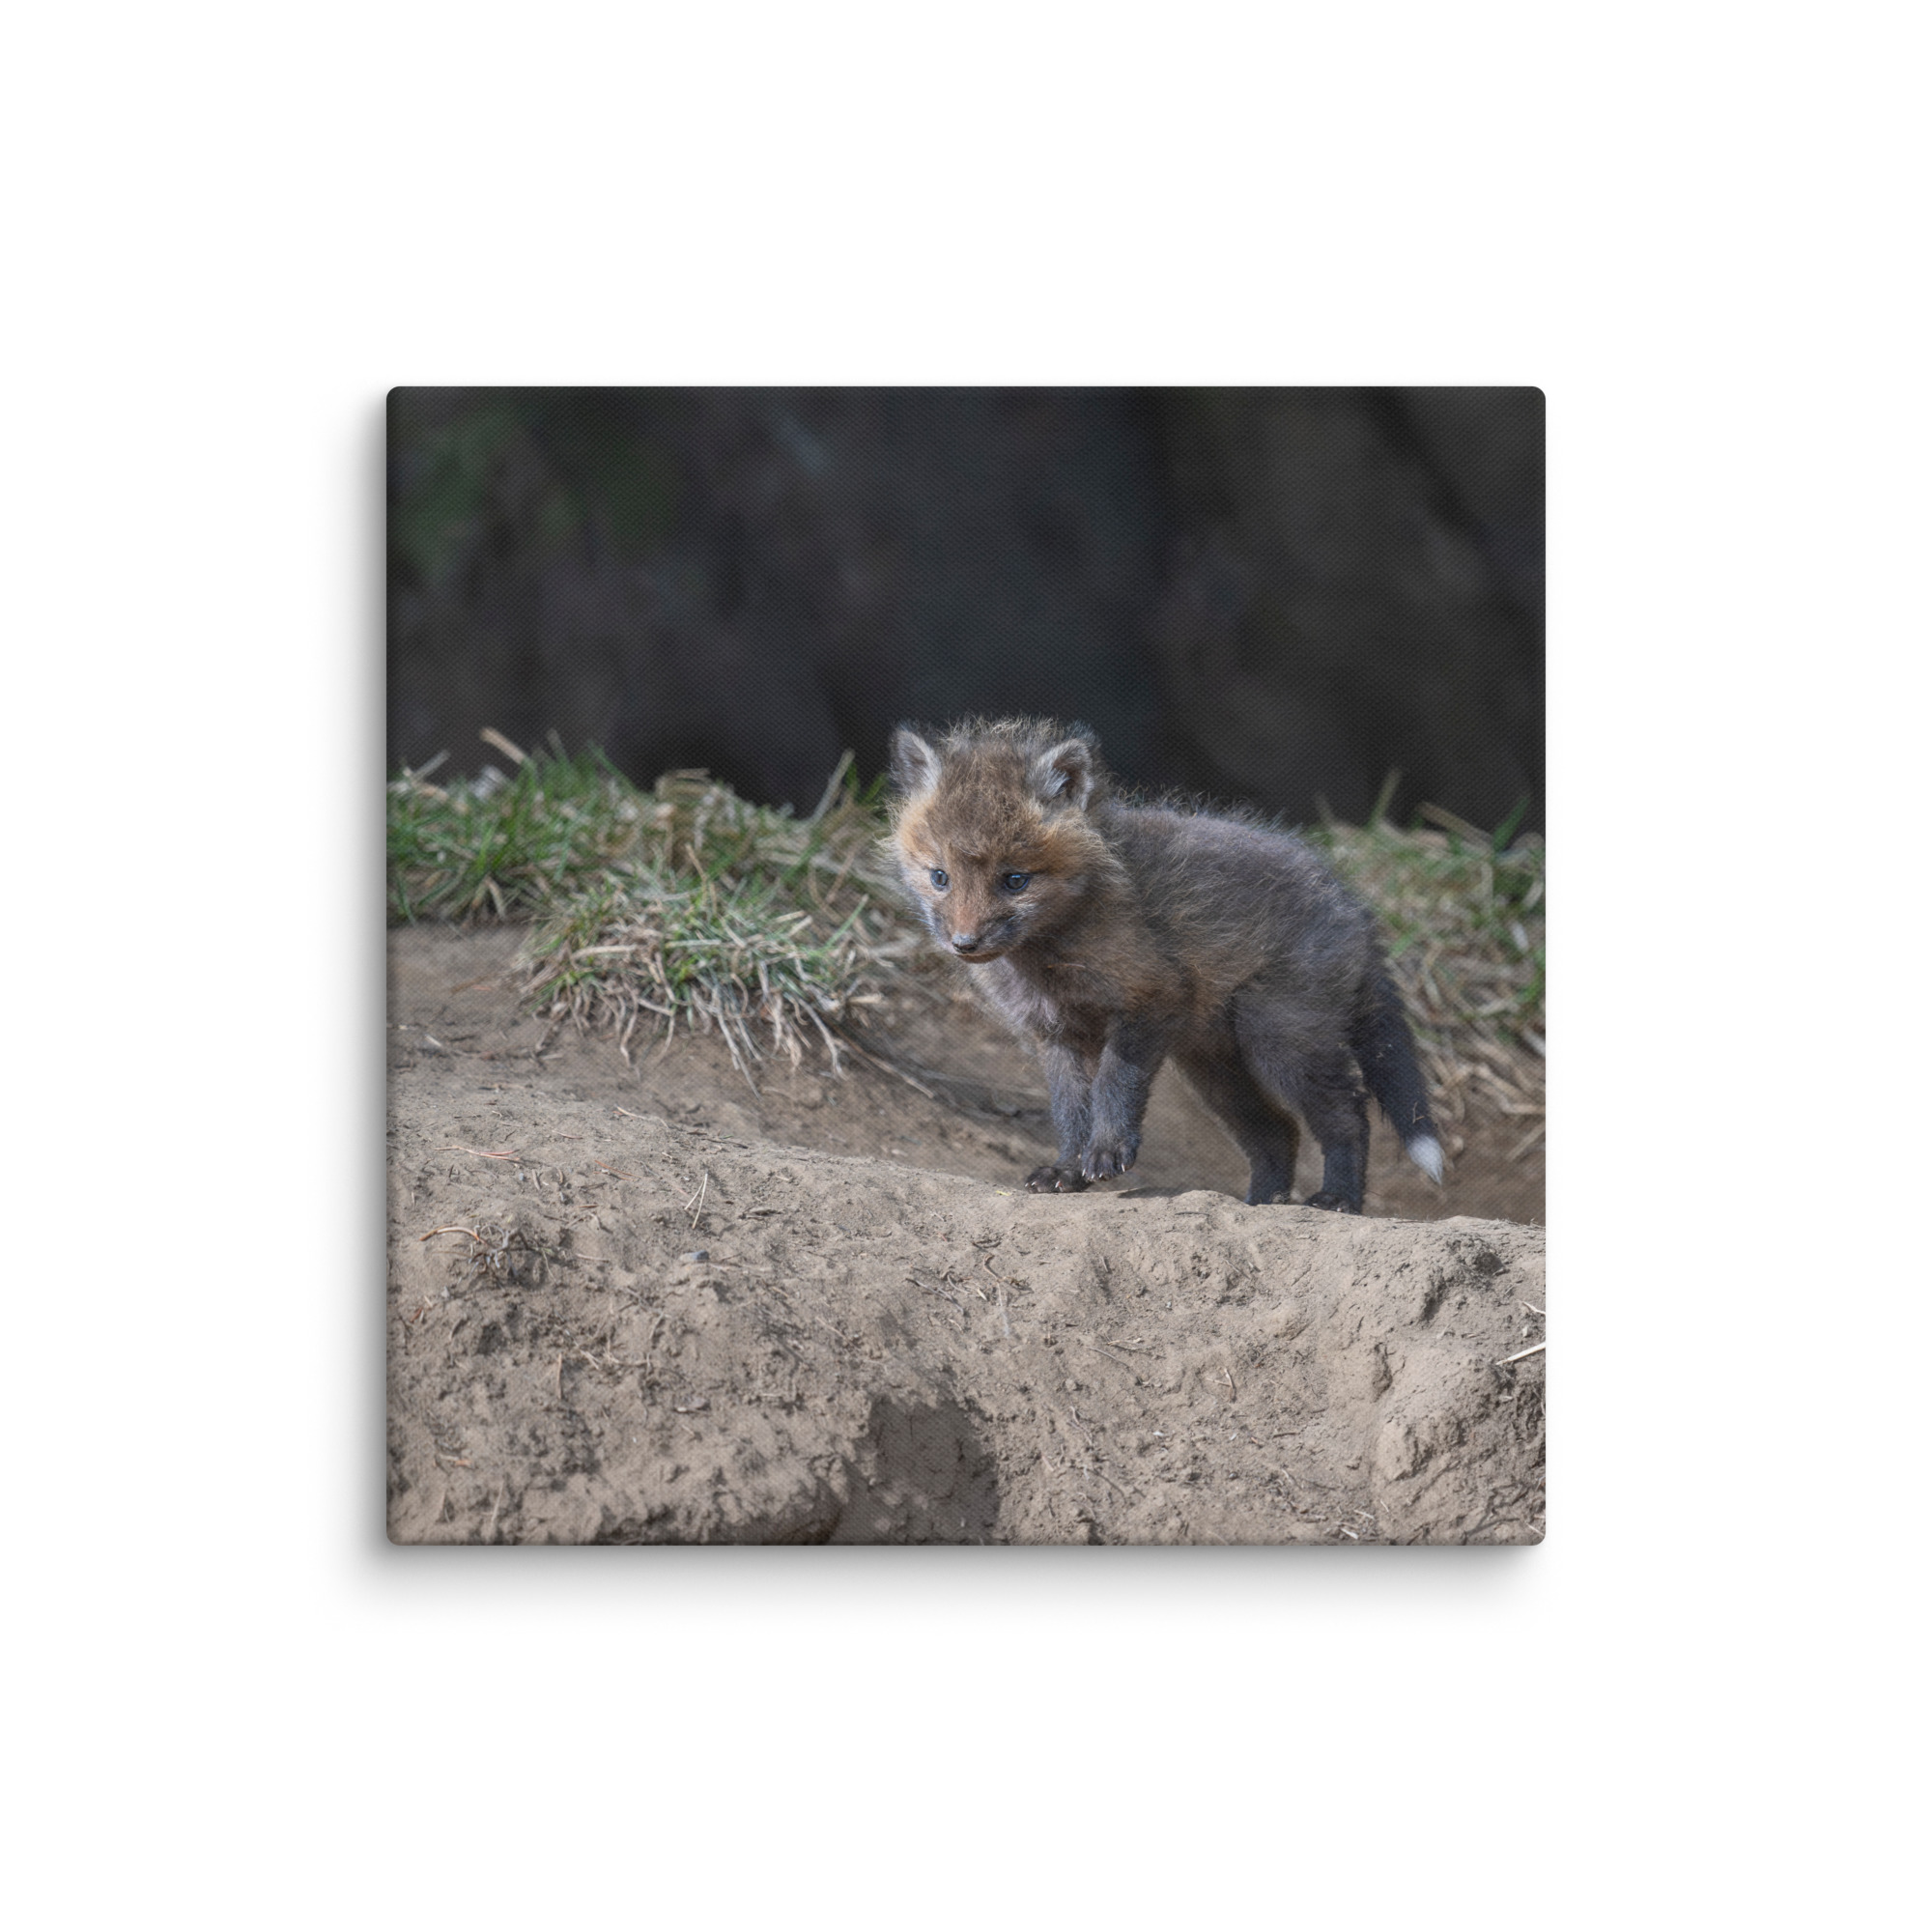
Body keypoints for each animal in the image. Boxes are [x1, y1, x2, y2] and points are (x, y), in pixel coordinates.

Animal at [887, 717, 1443, 1214]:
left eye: (1015, 880)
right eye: (940, 877)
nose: (964, 943)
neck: (1049, 960)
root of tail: (1354, 906)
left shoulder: (1151, 998)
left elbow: (1114, 1084)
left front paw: (1107, 1152)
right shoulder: (1056, 1034)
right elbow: (1070, 1111)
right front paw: (1067, 1170)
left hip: (1281, 1040)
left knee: (1348, 1115)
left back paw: (1338, 1198)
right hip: (1215, 1068)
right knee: (1277, 1132)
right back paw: (1261, 1203)